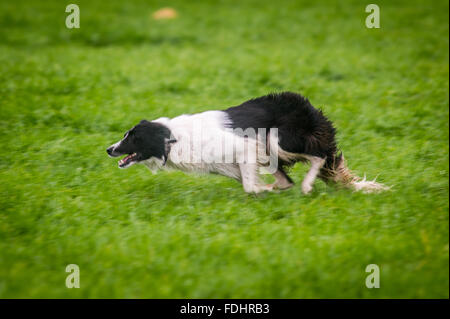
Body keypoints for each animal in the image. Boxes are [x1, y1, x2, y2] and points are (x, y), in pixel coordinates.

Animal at [105, 91, 386, 194]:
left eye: (131, 137)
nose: (109, 149)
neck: (171, 139)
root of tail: (309, 106)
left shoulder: (246, 147)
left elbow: (251, 187)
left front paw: (266, 190)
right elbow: (269, 182)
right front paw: (274, 189)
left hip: (278, 138)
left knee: (319, 156)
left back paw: (307, 185)